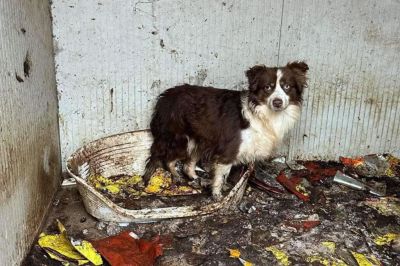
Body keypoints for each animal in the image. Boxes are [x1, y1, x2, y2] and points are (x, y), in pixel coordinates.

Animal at [144, 61, 310, 200]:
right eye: (267, 87)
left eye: (287, 87)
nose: (277, 102)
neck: (262, 114)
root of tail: (164, 97)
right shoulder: (228, 151)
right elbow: (221, 176)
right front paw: (217, 196)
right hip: (181, 139)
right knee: (168, 159)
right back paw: (176, 175)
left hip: (198, 140)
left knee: (187, 165)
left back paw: (195, 178)